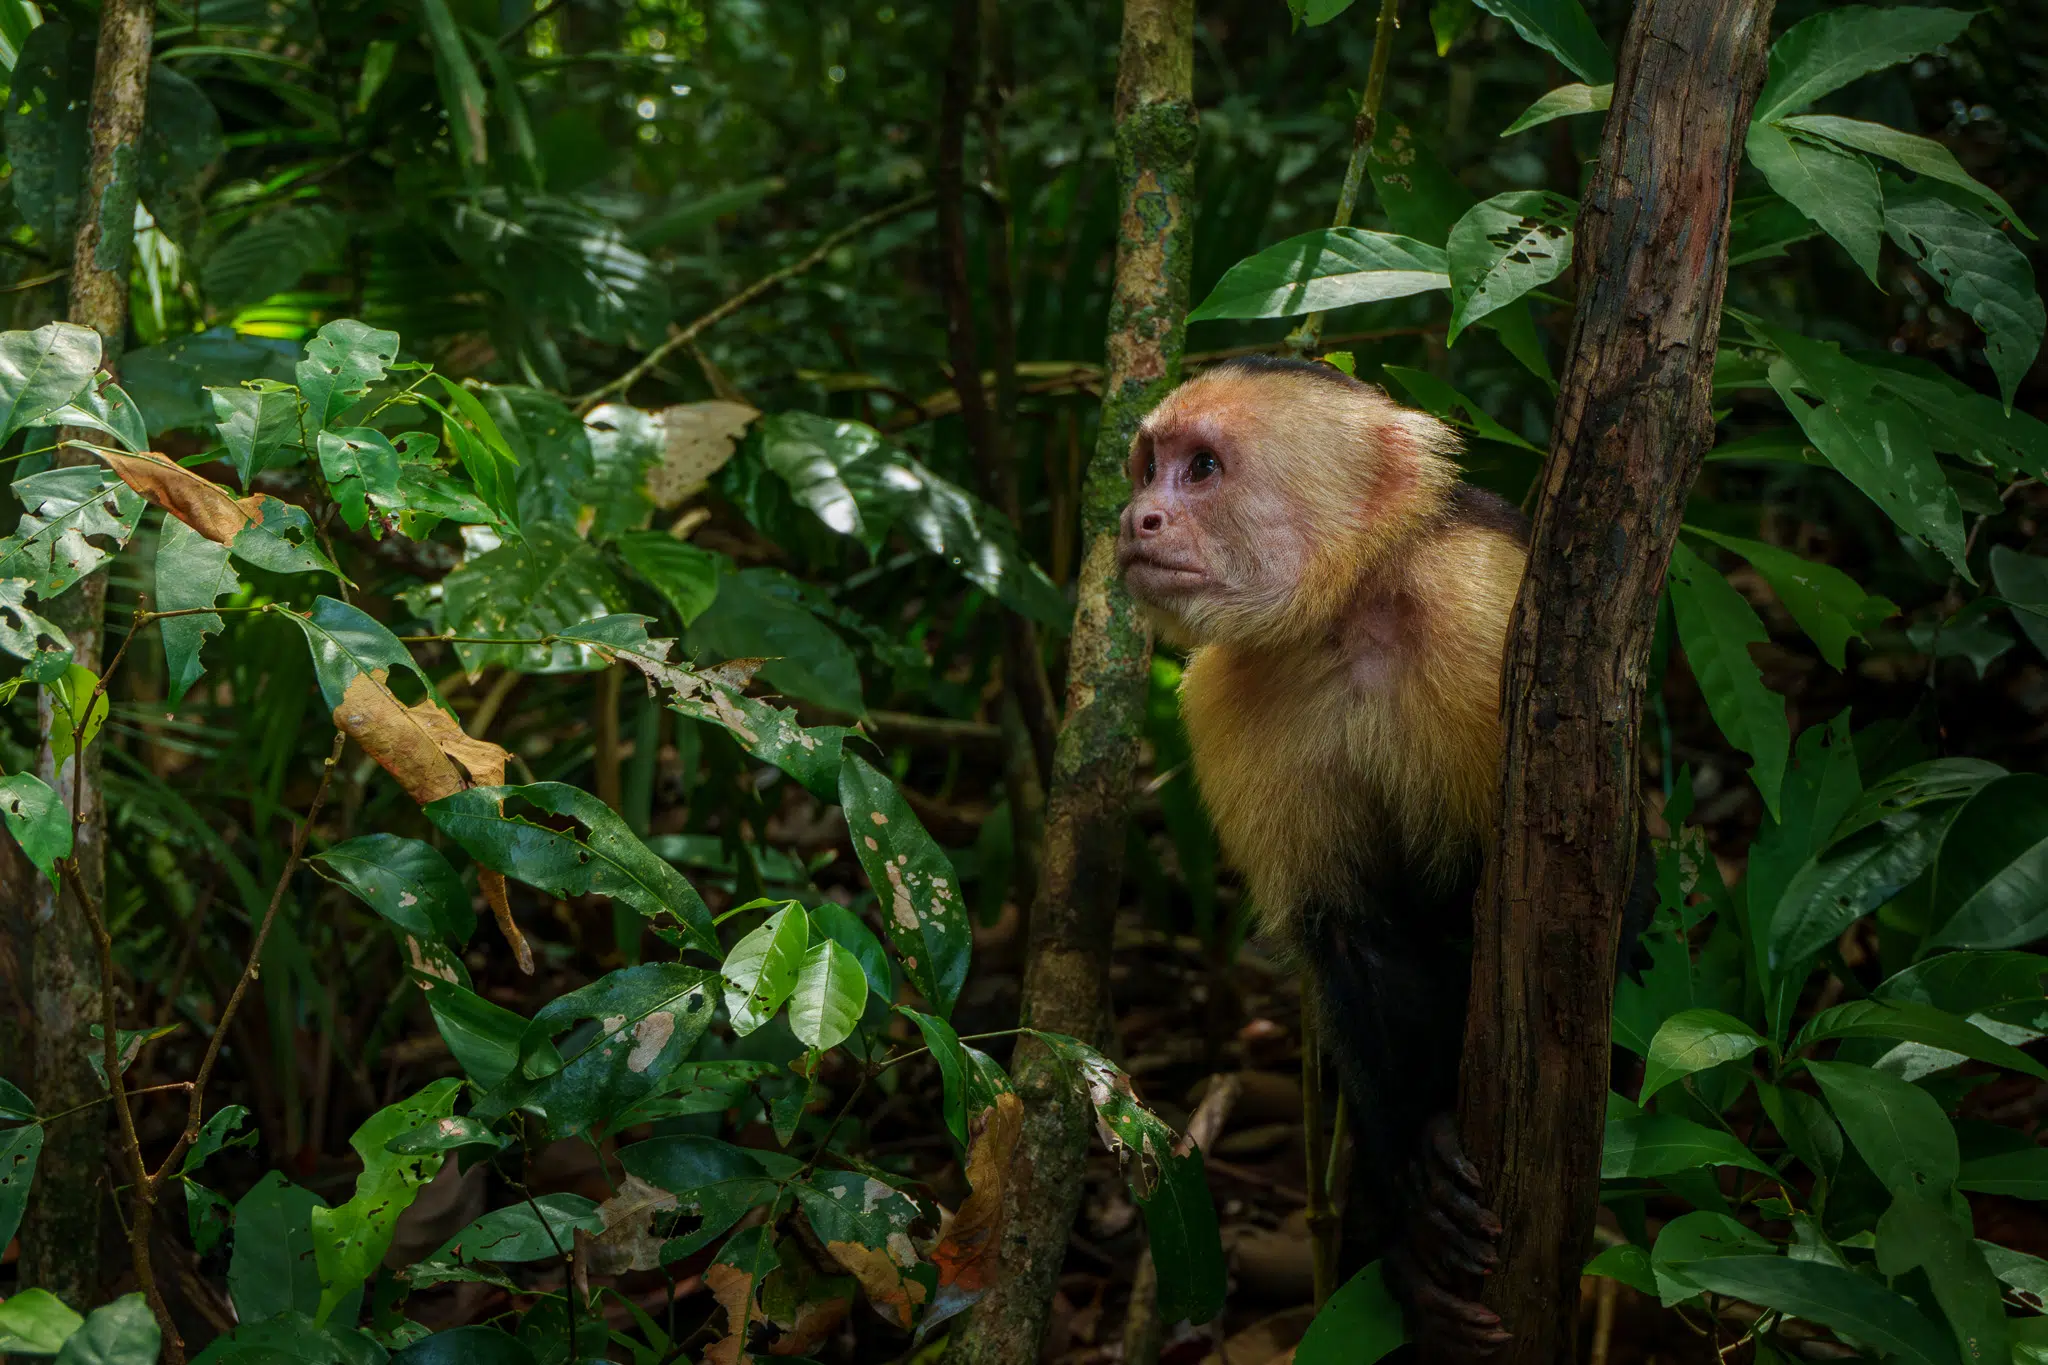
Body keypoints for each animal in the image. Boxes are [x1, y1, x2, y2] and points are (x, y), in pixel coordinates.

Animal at [1115, 355, 1653, 1354]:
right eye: (1147, 467)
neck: (1344, 613)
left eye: (1202, 469)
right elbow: (1347, 937)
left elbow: (1599, 888)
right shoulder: (1226, 699)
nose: (1136, 520)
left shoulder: (1480, 603)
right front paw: (1414, 1167)